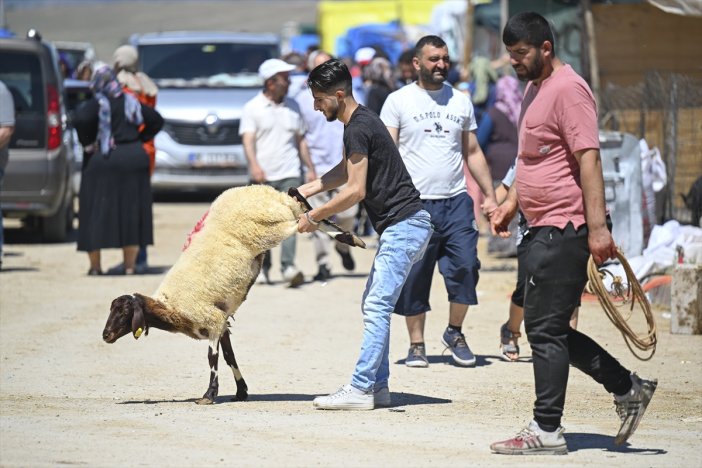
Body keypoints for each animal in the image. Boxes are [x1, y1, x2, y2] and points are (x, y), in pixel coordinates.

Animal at [101, 185, 306, 404]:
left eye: (124, 312)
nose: (105, 335)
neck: (170, 307)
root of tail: (266, 191)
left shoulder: (213, 320)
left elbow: (212, 358)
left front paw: (209, 394)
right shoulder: (223, 323)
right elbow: (229, 356)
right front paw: (241, 392)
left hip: (269, 229)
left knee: (300, 223)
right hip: (276, 220)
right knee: (298, 201)